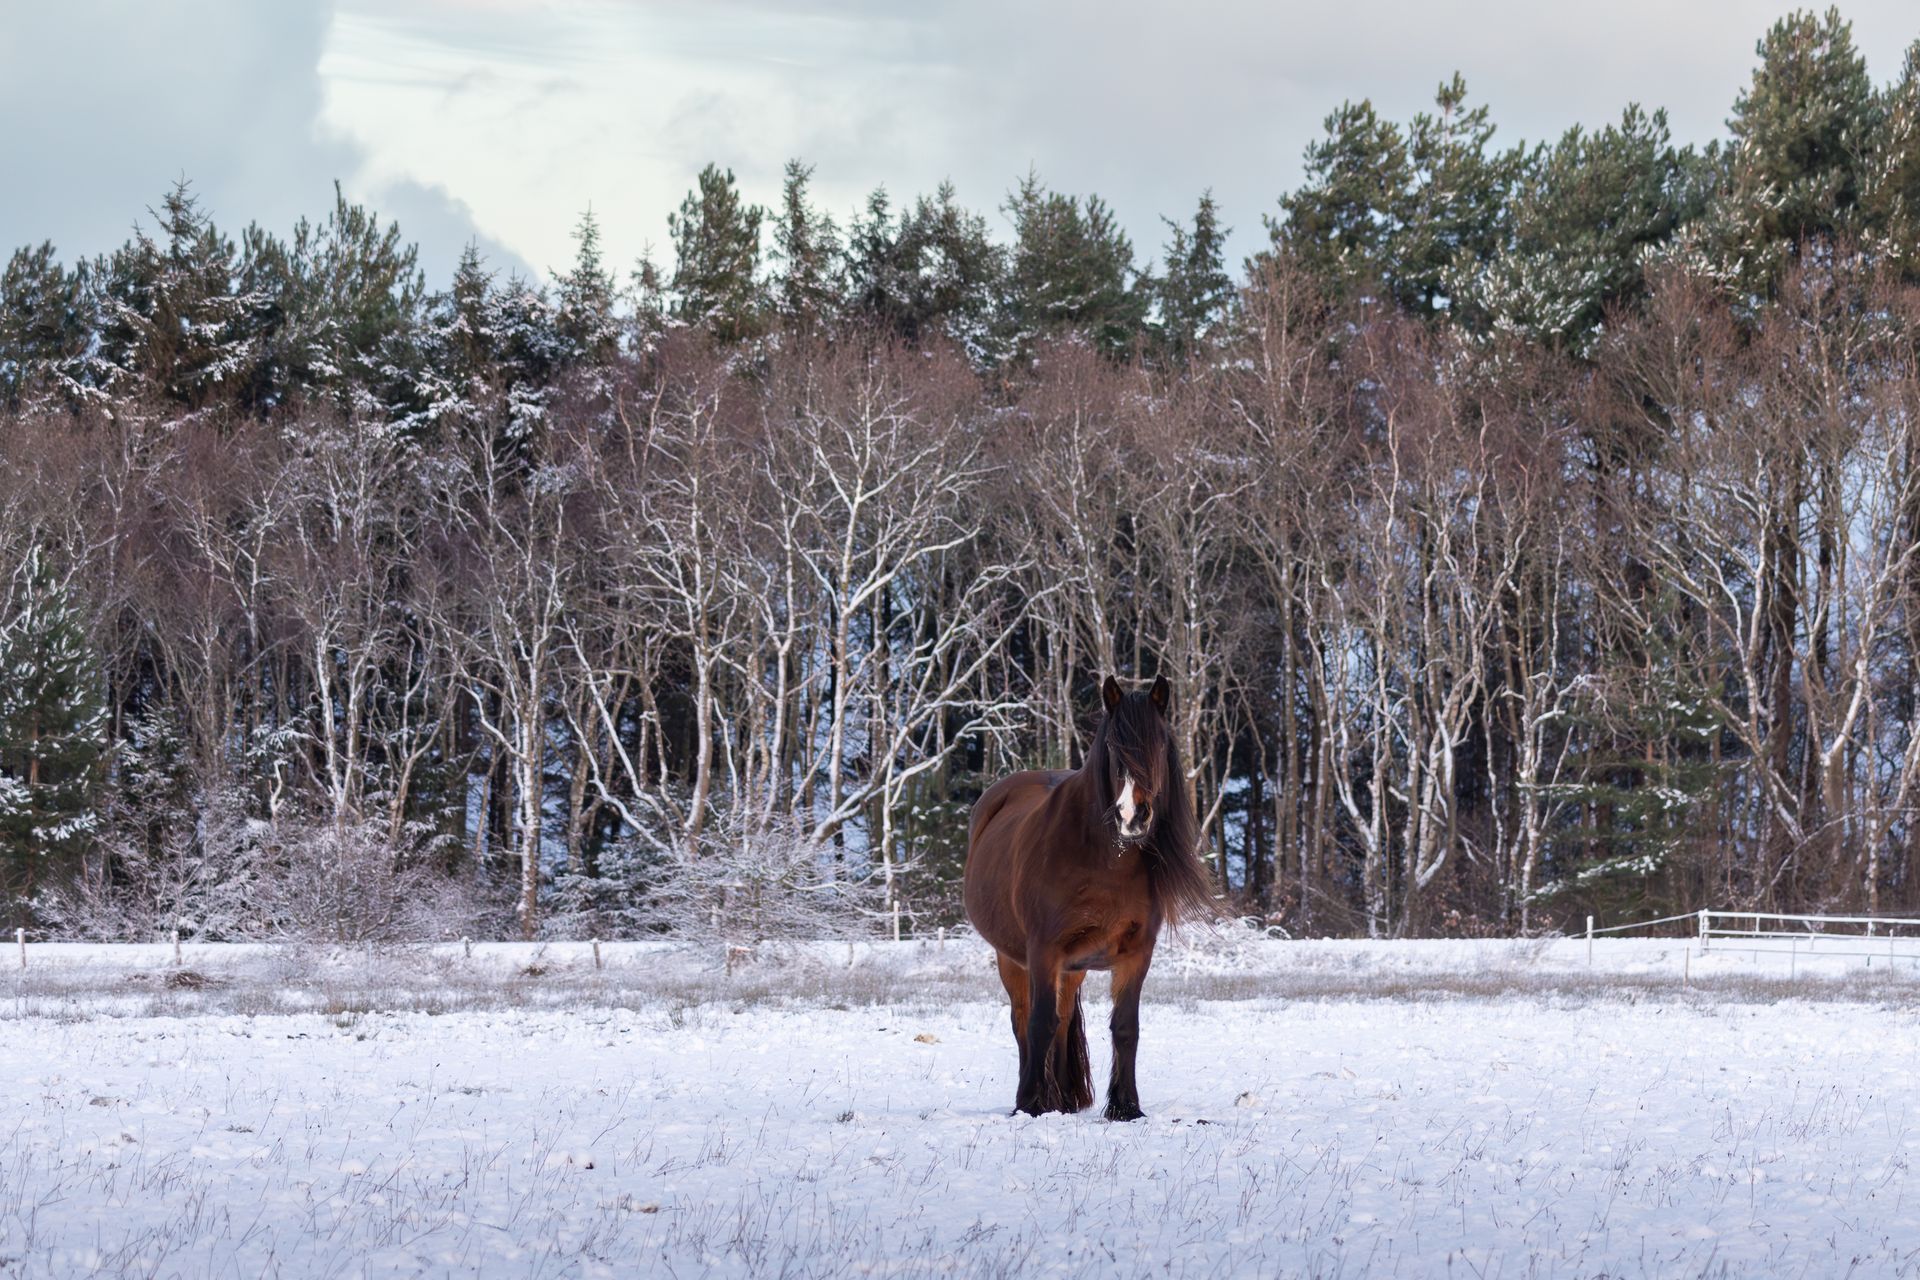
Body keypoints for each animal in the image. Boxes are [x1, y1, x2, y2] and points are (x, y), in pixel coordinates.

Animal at [963, 674, 1213, 1119]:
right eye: (1113, 746)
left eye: (1159, 743)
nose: (1133, 816)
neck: (1105, 858)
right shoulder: (1043, 951)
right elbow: (1039, 1023)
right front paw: (1031, 1105)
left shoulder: (1135, 953)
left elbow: (1124, 1026)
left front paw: (1126, 1106)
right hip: (1012, 959)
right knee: (1023, 1020)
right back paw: (1036, 1096)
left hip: (1071, 967)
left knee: (1063, 1019)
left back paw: (1062, 1099)